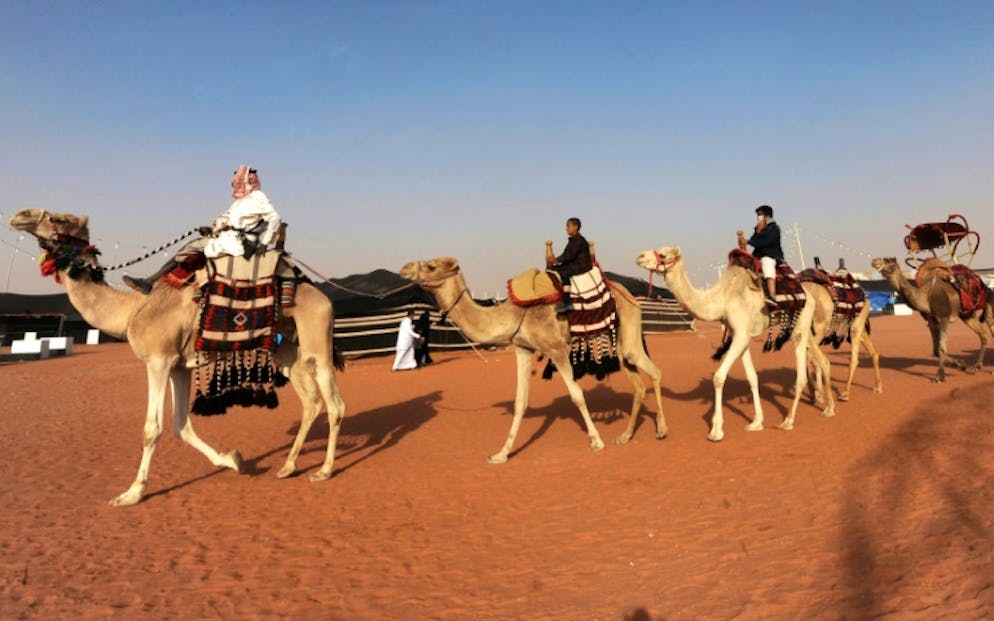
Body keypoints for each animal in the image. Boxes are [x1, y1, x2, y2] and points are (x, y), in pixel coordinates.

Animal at [10, 209, 346, 506]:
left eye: (57, 218)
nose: (20, 215)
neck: (131, 309)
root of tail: (323, 296)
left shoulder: (158, 360)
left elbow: (152, 428)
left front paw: (131, 494)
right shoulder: (179, 366)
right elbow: (181, 425)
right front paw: (232, 460)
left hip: (317, 338)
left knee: (335, 404)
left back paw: (325, 470)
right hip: (287, 351)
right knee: (311, 401)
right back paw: (288, 467)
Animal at [398, 257, 665, 462]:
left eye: (432, 266)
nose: (405, 268)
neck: (513, 313)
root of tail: (628, 294)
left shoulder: (556, 349)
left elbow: (577, 395)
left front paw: (596, 441)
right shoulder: (522, 349)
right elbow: (520, 402)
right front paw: (500, 454)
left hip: (628, 328)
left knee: (654, 372)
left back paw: (661, 430)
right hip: (621, 343)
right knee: (639, 385)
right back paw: (625, 436)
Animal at [635, 246, 834, 441]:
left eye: (663, 255)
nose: (640, 257)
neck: (722, 298)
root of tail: (809, 293)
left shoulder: (740, 335)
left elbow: (718, 377)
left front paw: (716, 430)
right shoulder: (740, 334)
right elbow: (752, 377)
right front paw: (756, 422)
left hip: (801, 323)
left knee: (801, 373)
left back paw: (789, 420)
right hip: (804, 326)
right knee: (822, 360)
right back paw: (829, 408)